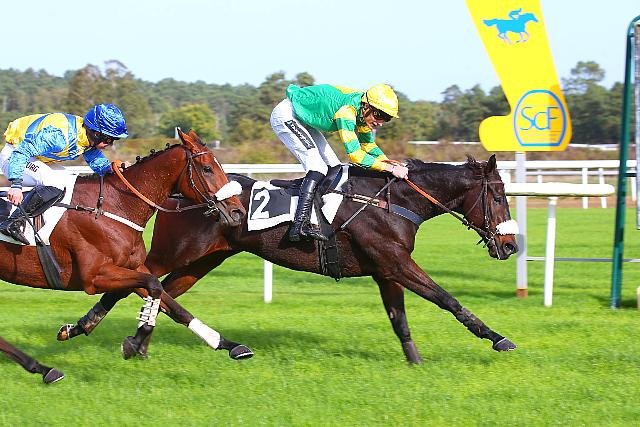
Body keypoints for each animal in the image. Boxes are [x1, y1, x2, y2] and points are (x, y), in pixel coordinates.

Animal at [0, 129, 251, 383]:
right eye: (207, 168)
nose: (238, 212)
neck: (115, 206)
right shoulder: (95, 277)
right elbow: (155, 287)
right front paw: (135, 343)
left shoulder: (133, 268)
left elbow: (172, 304)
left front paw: (229, 344)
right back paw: (42, 368)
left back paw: (42, 368)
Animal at [61, 154, 519, 363]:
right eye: (498, 196)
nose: (511, 246)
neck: (392, 201)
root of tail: (177, 190)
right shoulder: (397, 264)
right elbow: (448, 299)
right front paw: (498, 338)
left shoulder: (387, 270)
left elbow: (399, 319)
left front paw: (414, 361)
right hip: (176, 251)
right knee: (138, 283)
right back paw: (82, 325)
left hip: (204, 260)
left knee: (165, 292)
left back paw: (139, 342)